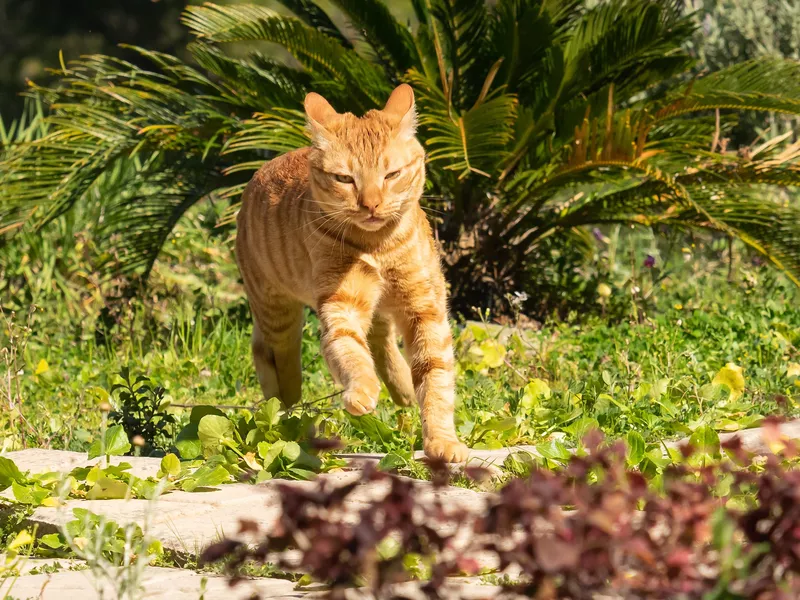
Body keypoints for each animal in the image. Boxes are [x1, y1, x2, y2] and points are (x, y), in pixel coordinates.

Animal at [234, 84, 468, 462]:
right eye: (344, 179)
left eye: (391, 175)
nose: (371, 204)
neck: (378, 245)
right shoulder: (341, 304)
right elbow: (349, 349)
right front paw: (362, 390)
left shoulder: (424, 308)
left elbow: (436, 374)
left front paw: (442, 441)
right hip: (277, 314)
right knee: (278, 359)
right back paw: (287, 400)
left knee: (381, 338)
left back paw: (403, 388)